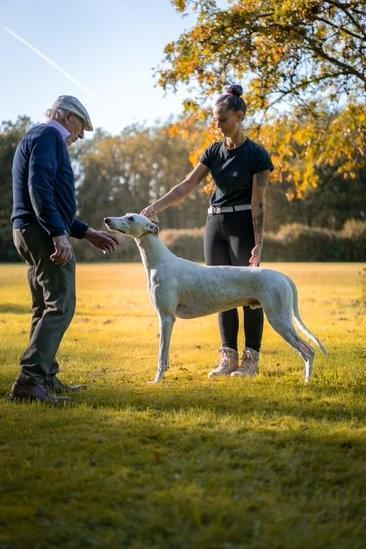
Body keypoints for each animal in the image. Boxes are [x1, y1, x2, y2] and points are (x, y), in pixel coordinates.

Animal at [104, 212, 328, 384]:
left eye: (131, 218)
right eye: (125, 214)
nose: (107, 219)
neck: (159, 261)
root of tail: (283, 276)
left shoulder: (166, 318)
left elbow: (160, 355)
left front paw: (156, 381)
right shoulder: (168, 320)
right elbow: (165, 356)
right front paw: (164, 374)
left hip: (279, 319)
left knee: (308, 351)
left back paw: (307, 381)